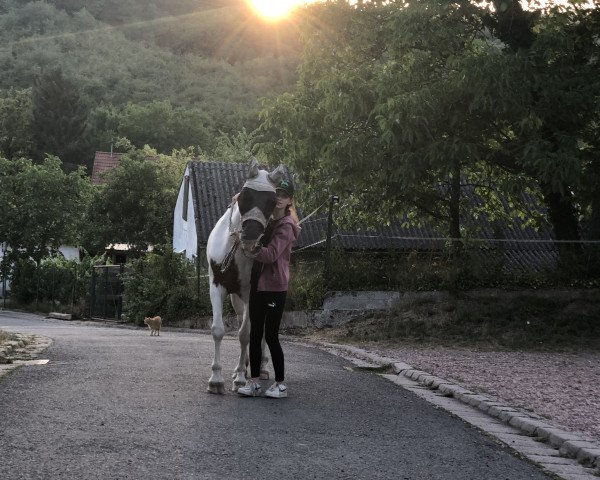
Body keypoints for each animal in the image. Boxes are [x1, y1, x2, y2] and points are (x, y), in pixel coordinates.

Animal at [205, 158, 284, 394]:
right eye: (244, 195)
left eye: (272, 201)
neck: (235, 249)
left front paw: (240, 377)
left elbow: (245, 334)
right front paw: (216, 379)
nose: (250, 239)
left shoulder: (252, 293)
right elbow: (218, 330)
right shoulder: (216, 286)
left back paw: (261, 368)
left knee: (260, 331)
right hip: (236, 297)